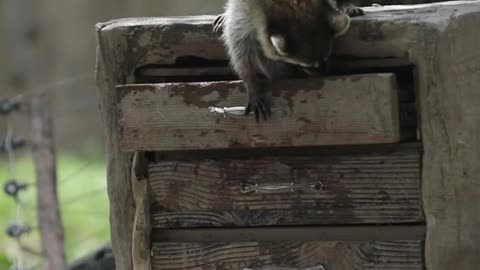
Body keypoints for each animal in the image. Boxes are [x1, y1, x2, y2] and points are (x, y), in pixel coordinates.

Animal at [214, 0, 364, 121]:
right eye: (308, 66)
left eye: (326, 59)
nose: (322, 77)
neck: (291, 6)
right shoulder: (247, 8)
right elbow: (238, 41)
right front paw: (250, 81)